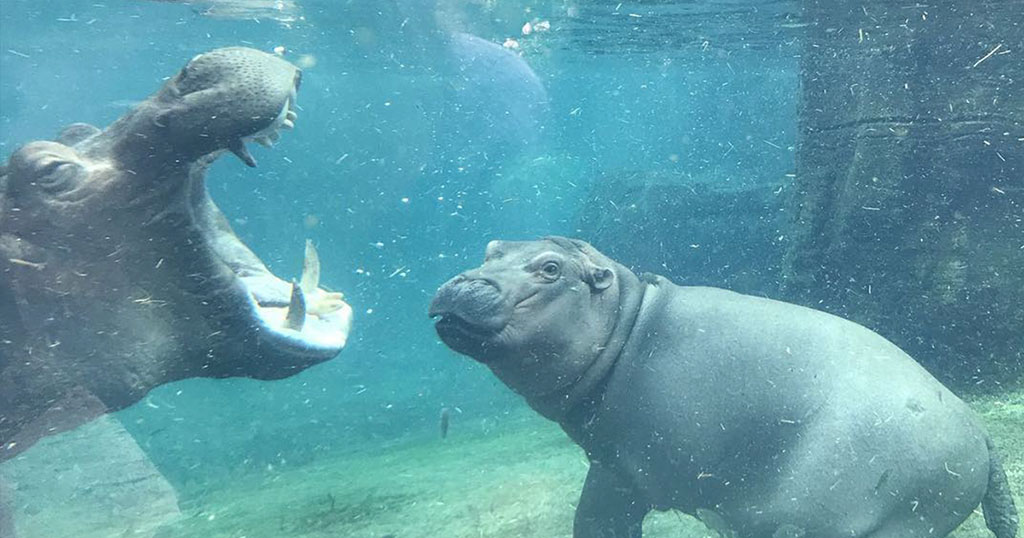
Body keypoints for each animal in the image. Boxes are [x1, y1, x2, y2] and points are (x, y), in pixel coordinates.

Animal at [425, 236, 1015, 536]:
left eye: (550, 268)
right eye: (492, 248)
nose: (461, 284)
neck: (627, 320)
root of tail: (981, 431)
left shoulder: (619, 470)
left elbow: (597, 520)